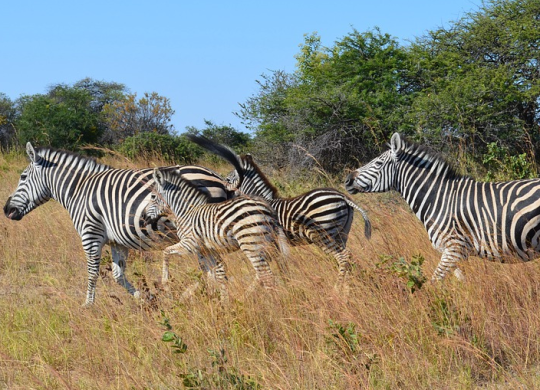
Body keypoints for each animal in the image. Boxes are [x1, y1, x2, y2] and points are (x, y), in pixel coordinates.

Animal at [3, 142, 232, 304]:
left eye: (23, 177)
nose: (6, 210)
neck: (79, 190)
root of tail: (218, 177)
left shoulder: (90, 234)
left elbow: (92, 272)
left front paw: (88, 306)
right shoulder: (117, 242)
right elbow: (117, 275)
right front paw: (146, 299)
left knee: (216, 268)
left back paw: (215, 299)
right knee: (211, 270)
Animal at [148, 166, 292, 304]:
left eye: (153, 197)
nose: (146, 218)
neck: (187, 211)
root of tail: (267, 207)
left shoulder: (190, 244)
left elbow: (166, 252)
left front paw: (165, 283)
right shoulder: (207, 250)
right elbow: (217, 274)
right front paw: (221, 302)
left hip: (250, 242)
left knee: (266, 275)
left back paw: (272, 304)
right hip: (268, 243)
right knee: (268, 270)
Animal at [185, 134, 372, 290]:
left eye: (229, 177)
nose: (222, 195)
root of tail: (343, 197)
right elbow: (279, 266)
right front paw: (287, 285)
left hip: (323, 234)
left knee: (343, 256)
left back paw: (337, 289)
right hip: (342, 233)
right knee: (347, 258)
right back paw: (348, 286)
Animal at [346, 133, 540, 280]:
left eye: (378, 163)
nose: (347, 180)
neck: (438, 198)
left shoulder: (454, 247)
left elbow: (435, 282)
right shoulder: (454, 253)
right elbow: (461, 283)